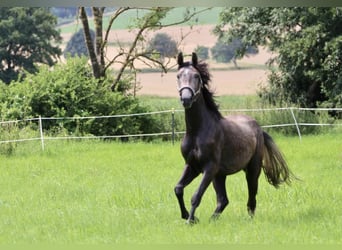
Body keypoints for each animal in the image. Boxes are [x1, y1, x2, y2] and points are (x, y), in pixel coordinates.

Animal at [174, 52, 294, 225]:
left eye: (196, 76)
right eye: (178, 76)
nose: (186, 99)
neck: (197, 131)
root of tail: (258, 128)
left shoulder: (209, 168)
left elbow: (196, 196)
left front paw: (190, 220)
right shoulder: (193, 166)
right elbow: (178, 189)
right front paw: (189, 217)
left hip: (252, 169)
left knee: (251, 197)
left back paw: (249, 220)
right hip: (219, 175)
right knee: (223, 200)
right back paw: (212, 220)